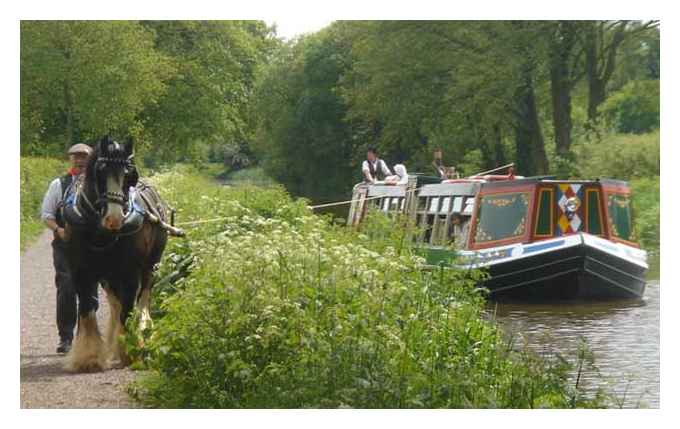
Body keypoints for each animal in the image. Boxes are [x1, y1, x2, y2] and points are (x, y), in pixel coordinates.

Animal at [61, 135, 169, 370]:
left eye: (129, 174)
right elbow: (87, 310)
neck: (100, 231)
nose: (114, 219)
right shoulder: (82, 273)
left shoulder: (129, 273)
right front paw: (89, 356)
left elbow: (127, 311)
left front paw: (129, 350)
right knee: (114, 302)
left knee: (144, 297)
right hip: (108, 276)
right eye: (100, 171)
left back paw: (144, 332)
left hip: (151, 265)